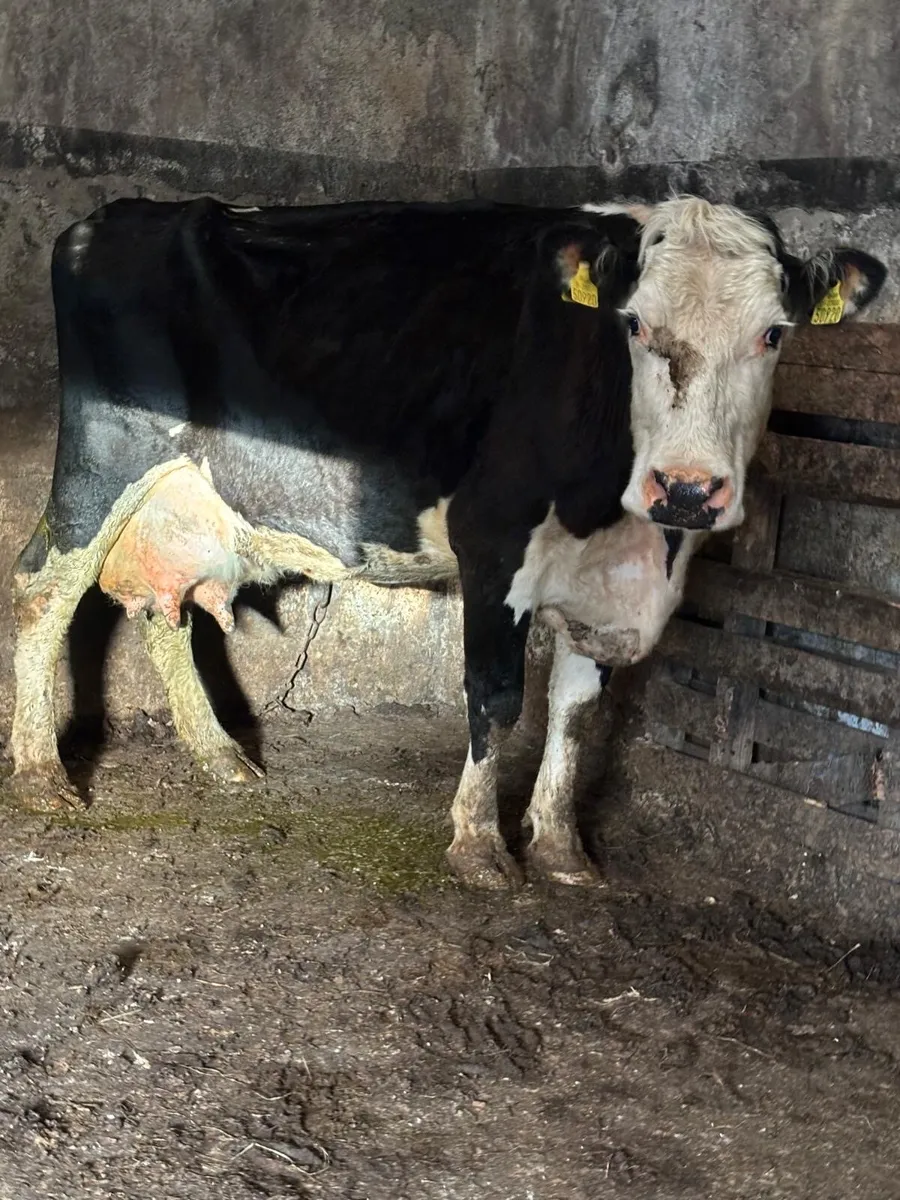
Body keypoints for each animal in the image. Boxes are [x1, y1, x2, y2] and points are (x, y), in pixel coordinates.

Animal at [7, 195, 886, 889]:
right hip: (102, 464)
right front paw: (480, 847)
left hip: (187, 497)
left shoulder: (613, 588)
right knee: (43, 590)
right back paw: (42, 773)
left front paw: (561, 848)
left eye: (774, 334)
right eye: (634, 324)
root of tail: (114, 215)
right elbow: (497, 697)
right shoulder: (492, 542)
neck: (625, 527)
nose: (690, 489)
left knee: (169, 614)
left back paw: (221, 756)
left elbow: (576, 711)